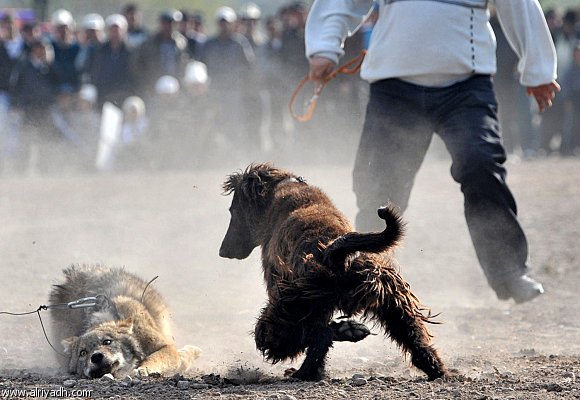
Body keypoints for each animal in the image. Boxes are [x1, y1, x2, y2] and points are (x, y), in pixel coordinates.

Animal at [46, 266, 199, 378]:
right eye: (83, 353)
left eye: (107, 342)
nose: (96, 357)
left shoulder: (165, 347)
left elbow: (155, 358)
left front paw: (143, 369)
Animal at [219, 163, 448, 382]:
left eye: (232, 210)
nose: (222, 251)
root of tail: (334, 254)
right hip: (393, 301)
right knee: (413, 337)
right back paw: (435, 369)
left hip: (285, 312)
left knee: (314, 336)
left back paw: (308, 368)